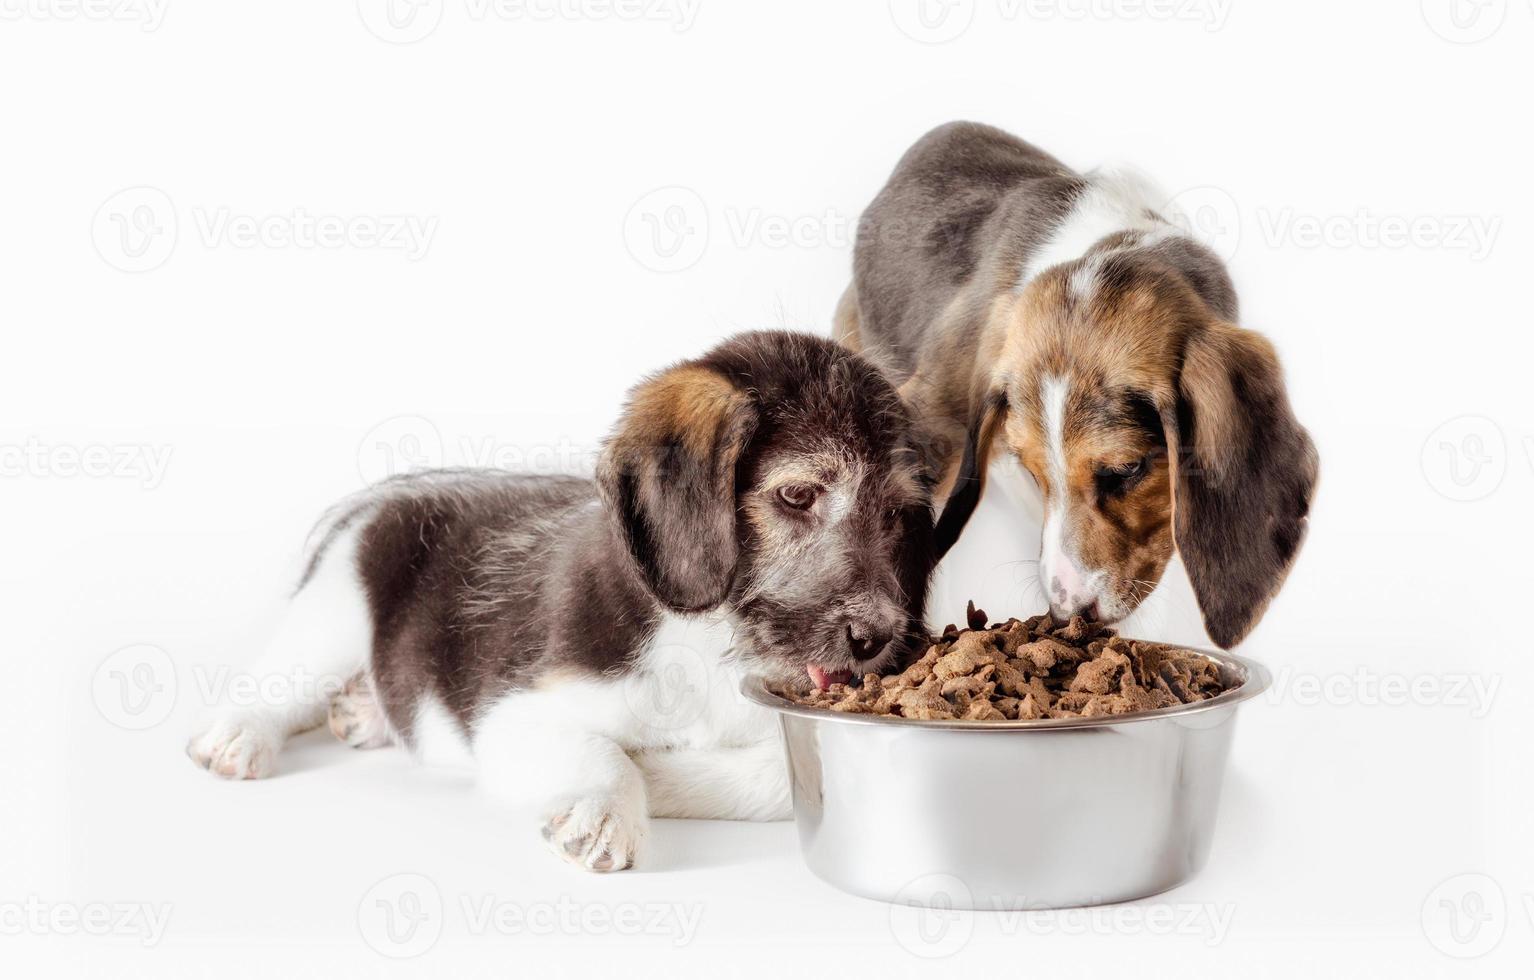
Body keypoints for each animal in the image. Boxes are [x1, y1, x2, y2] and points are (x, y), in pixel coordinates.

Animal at [184, 331, 926, 871]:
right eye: (797, 495)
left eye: (894, 514)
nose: (880, 638)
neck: (708, 645)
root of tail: (390, 491)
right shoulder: (513, 717)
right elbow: (605, 754)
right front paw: (607, 807)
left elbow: (768, 774)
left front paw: (658, 774)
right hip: (336, 602)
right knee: (277, 682)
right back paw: (238, 736)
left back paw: (364, 710)